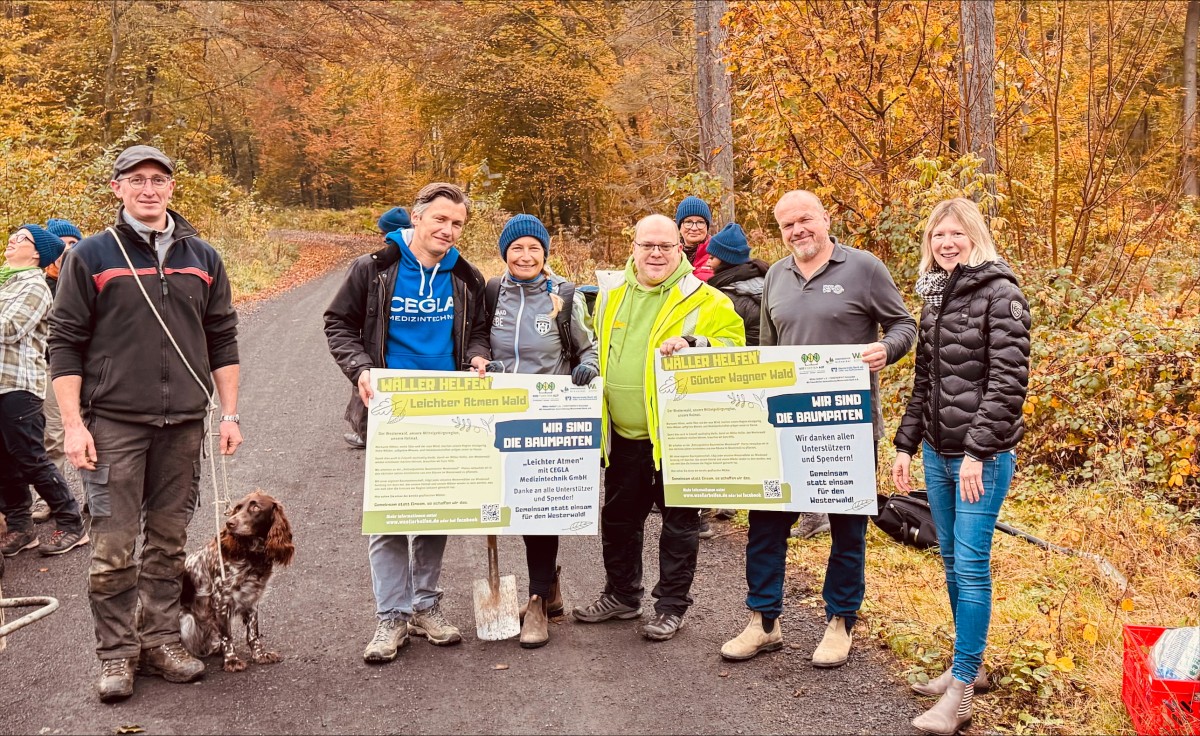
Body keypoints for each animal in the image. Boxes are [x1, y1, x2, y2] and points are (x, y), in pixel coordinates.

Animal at [181, 489, 296, 667]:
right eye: (238, 508)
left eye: (255, 507)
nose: (230, 523)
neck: (251, 555)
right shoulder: (220, 600)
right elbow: (227, 636)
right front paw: (232, 660)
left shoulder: (252, 598)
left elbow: (253, 633)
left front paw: (260, 655)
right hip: (187, 620)